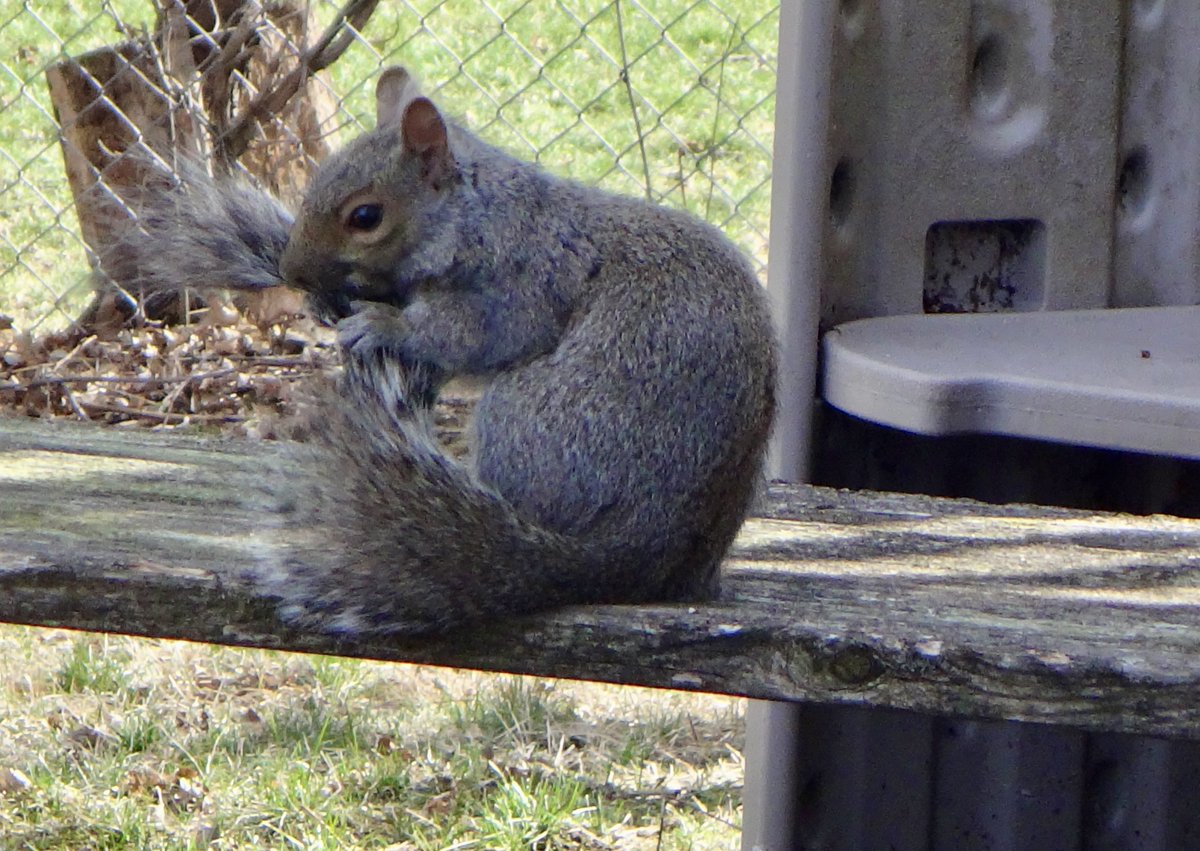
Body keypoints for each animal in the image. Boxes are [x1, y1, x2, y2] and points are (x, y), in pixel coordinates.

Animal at [117, 66, 777, 635]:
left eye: (365, 216)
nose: (292, 272)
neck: (473, 215)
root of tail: (636, 555)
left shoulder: (520, 280)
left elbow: (467, 336)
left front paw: (381, 325)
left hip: (526, 415)